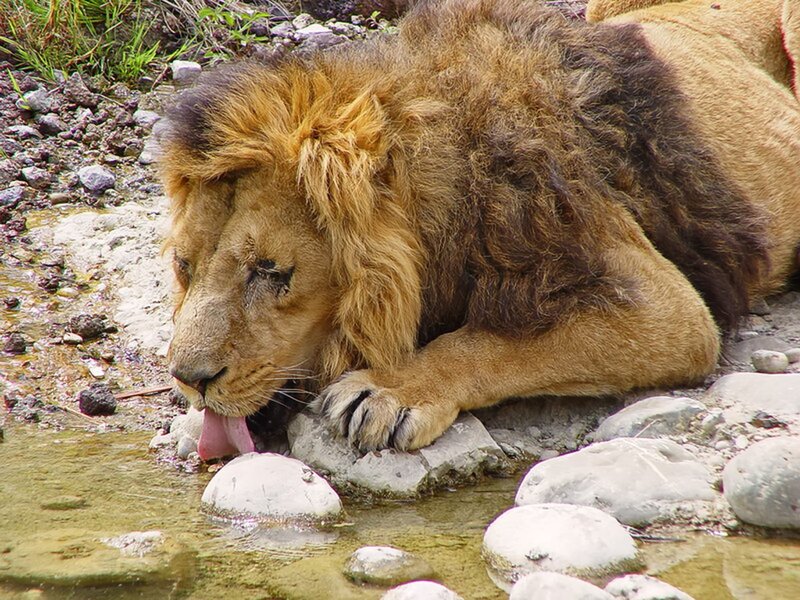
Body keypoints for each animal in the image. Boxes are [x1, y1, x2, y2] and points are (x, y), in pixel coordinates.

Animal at [160, 0, 800, 461]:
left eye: (271, 272)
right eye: (183, 268)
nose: (189, 380)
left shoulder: (662, 305)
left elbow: (493, 341)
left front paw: (390, 390)